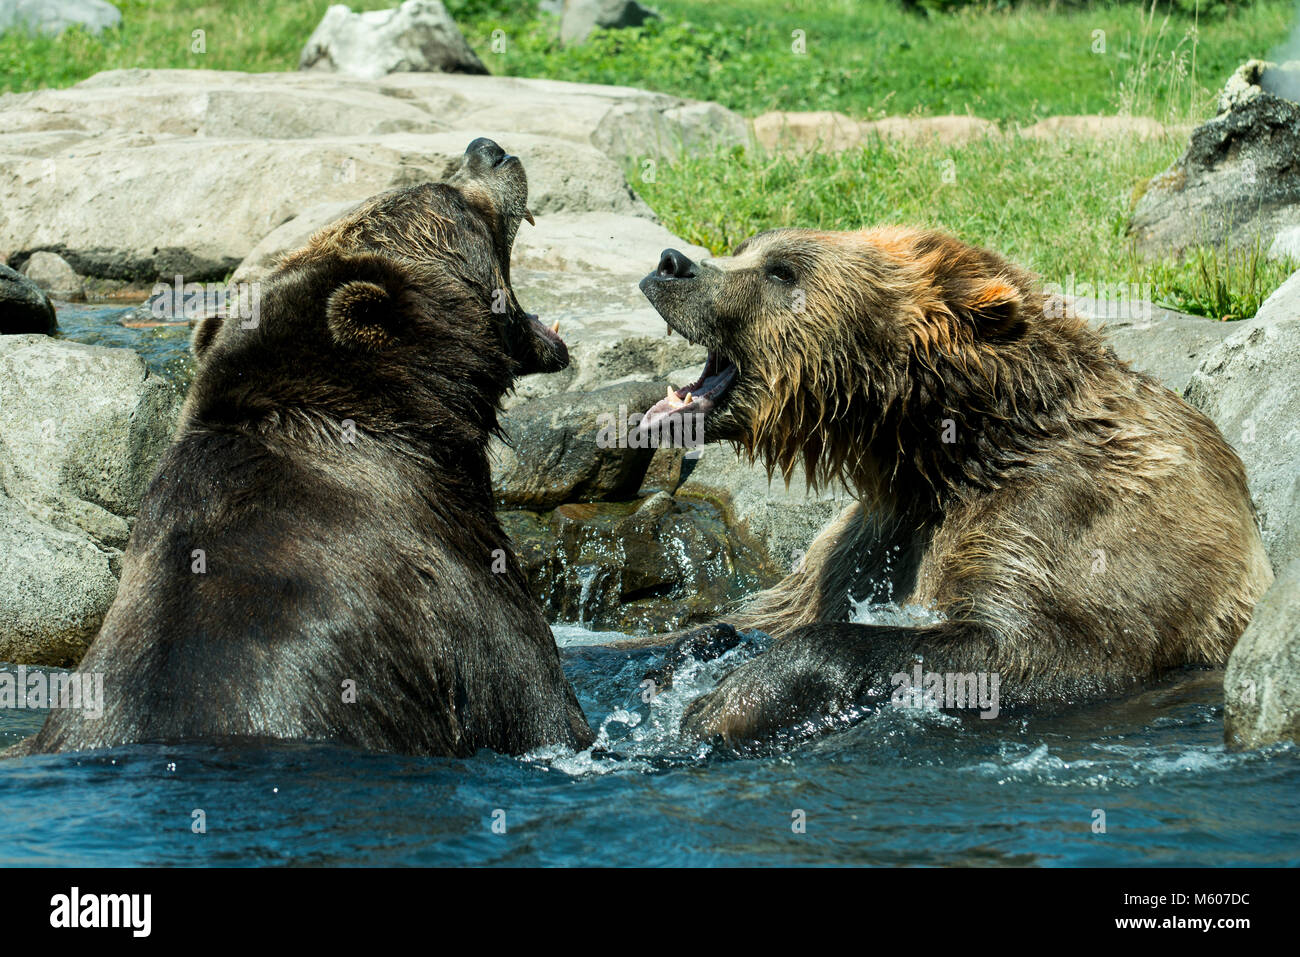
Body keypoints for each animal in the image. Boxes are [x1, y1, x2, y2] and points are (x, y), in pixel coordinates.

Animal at [634, 226, 1274, 748]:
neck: (950, 450)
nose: (671, 263)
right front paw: (690, 654)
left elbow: (1046, 649)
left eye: (782, 270)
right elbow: (768, 610)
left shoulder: (1071, 513)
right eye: (747, 248)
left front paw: (724, 702)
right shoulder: (873, 534)